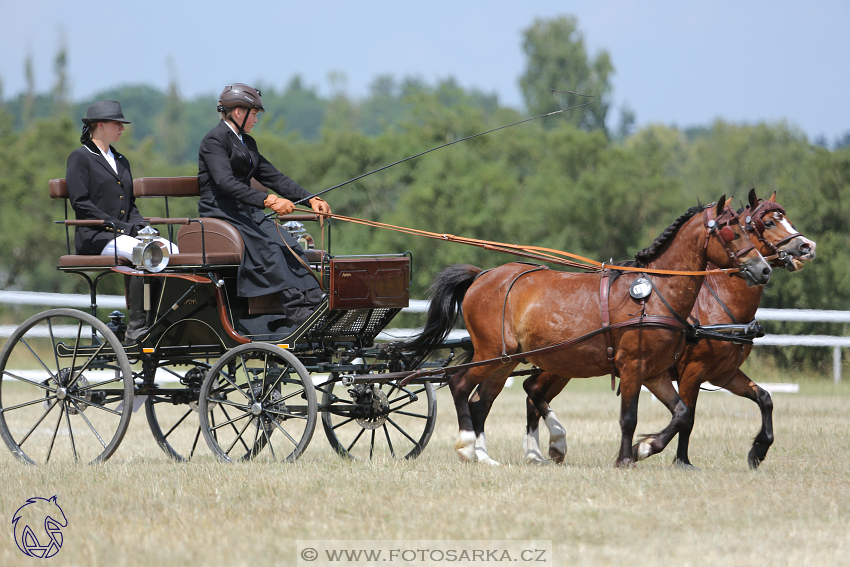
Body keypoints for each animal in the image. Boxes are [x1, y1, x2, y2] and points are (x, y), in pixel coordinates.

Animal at [402, 195, 768, 466]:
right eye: (733, 231)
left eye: (748, 228)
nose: (763, 269)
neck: (656, 292)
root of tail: (482, 275)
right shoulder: (636, 366)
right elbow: (630, 417)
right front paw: (627, 458)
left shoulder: (656, 372)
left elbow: (680, 413)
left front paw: (644, 448)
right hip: (492, 353)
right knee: (460, 385)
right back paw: (468, 447)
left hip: (509, 359)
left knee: (484, 400)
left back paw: (490, 456)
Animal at [524, 191, 816, 470]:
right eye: (767, 223)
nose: (807, 246)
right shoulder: (692, 371)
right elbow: (688, 417)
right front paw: (668, 456)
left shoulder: (724, 373)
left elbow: (764, 398)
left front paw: (759, 449)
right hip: (560, 362)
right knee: (533, 392)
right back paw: (548, 446)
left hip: (564, 365)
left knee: (532, 392)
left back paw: (539, 451)